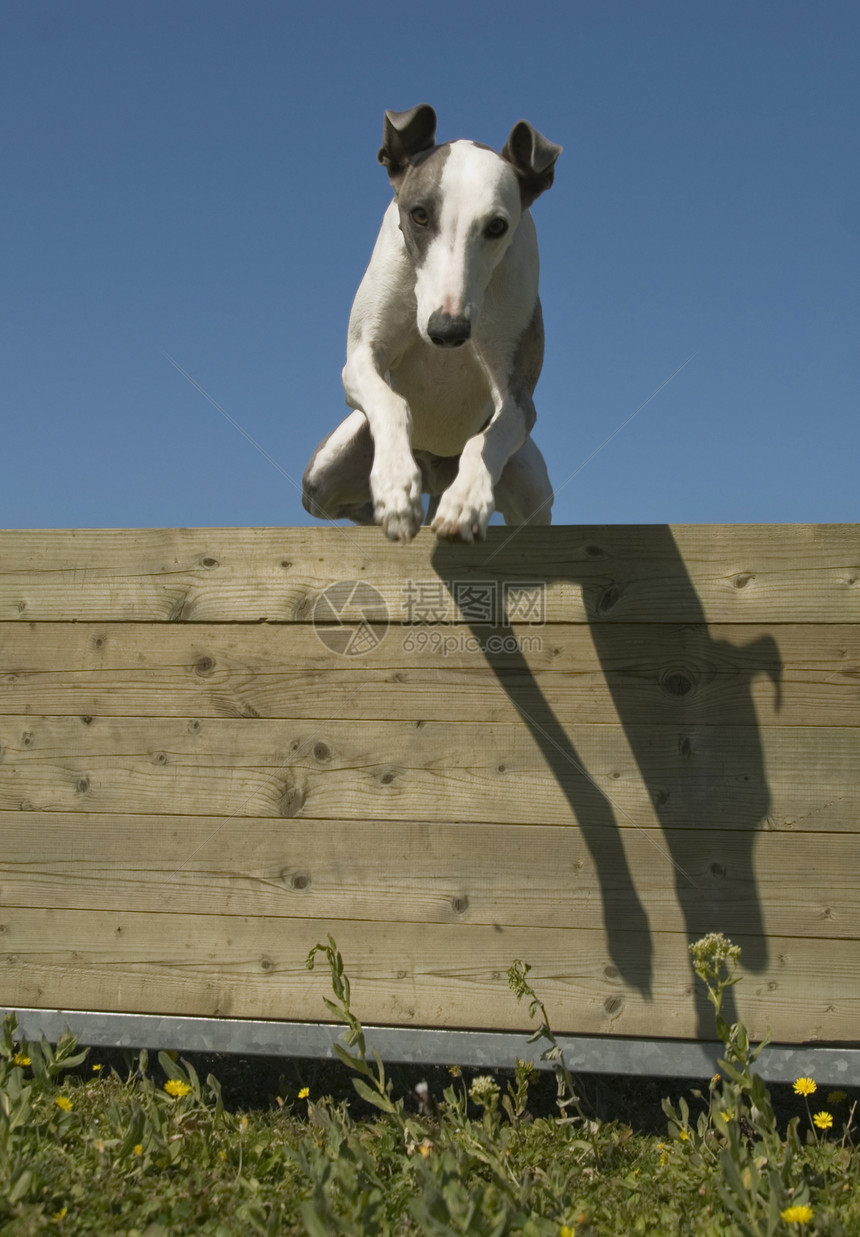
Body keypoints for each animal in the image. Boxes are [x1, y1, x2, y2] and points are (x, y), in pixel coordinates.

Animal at [304, 108, 564, 544]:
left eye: (497, 226)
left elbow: (488, 438)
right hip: (321, 476)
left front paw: (466, 502)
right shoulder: (360, 358)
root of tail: (435, 470)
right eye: (419, 215)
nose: (448, 331)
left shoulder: (517, 396)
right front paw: (394, 486)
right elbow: (392, 402)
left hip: (533, 488)